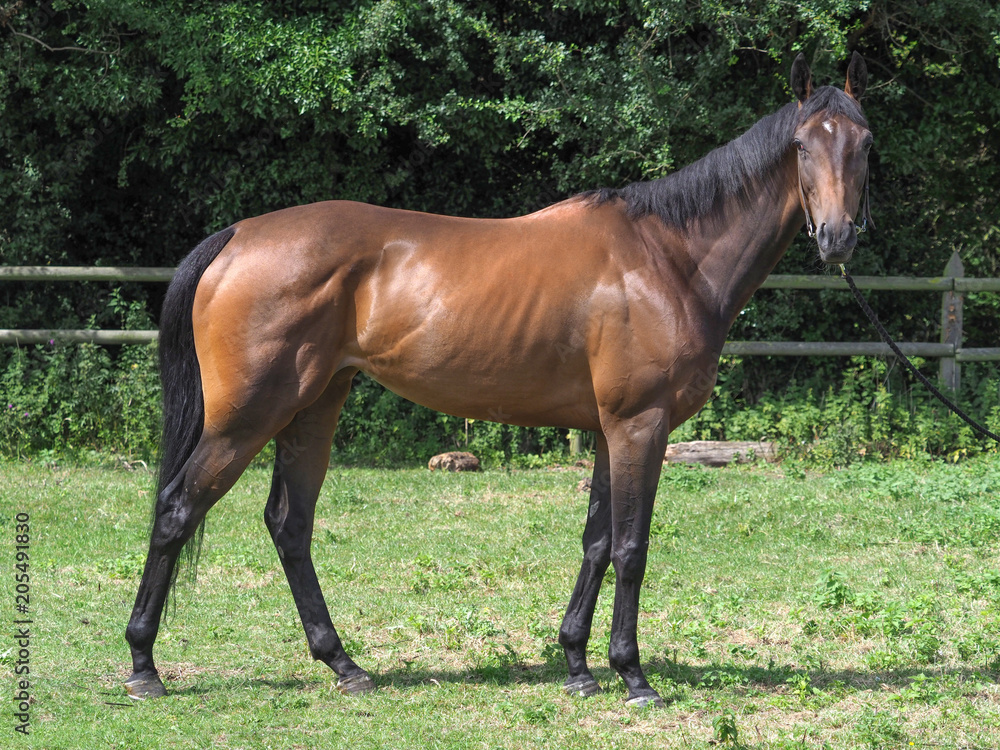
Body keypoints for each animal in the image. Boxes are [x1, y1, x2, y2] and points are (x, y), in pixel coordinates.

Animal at [125, 53, 873, 708]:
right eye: (802, 145)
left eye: (864, 143)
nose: (837, 238)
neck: (669, 258)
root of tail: (237, 236)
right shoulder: (640, 425)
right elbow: (631, 548)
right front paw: (632, 676)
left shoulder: (608, 432)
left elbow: (596, 542)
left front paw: (577, 666)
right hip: (247, 415)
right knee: (177, 509)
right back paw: (143, 666)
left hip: (313, 408)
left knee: (289, 524)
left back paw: (344, 664)